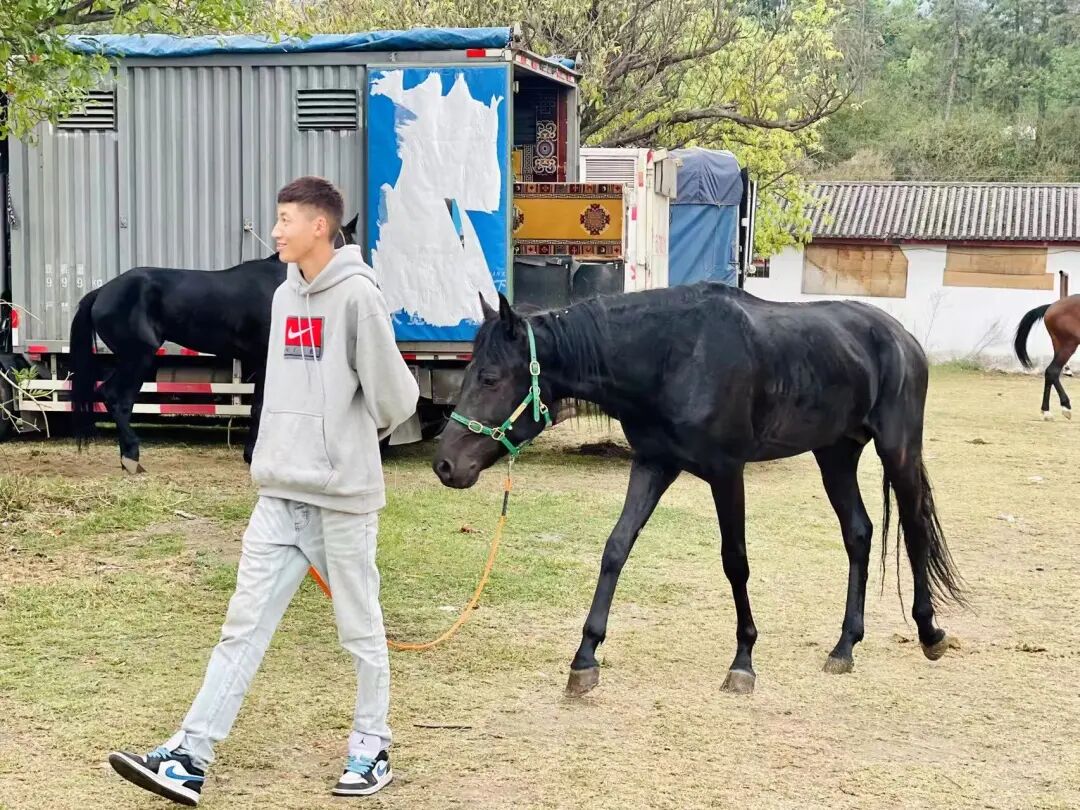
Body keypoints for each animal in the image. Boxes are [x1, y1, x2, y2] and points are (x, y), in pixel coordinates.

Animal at [69, 216, 358, 473]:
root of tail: (101, 292)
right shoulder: (265, 360)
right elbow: (259, 407)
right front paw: (252, 456)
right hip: (138, 357)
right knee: (116, 397)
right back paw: (131, 457)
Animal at [433, 285, 965, 696]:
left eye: (490, 377)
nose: (445, 464)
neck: (673, 356)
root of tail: (902, 337)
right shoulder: (654, 464)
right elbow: (615, 549)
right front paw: (585, 659)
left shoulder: (727, 472)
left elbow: (736, 561)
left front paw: (743, 661)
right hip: (834, 453)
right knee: (858, 533)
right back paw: (845, 645)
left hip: (898, 449)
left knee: (915, 528)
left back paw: (930, 632)